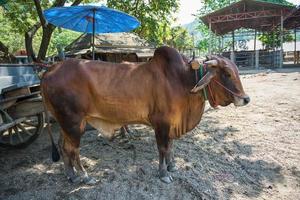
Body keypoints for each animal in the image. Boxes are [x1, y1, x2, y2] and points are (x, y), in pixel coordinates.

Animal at [41, 45, 250, 184]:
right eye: (227, 74)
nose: (246, 99)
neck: (183, 80)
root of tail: (50, 70)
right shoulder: (161, 123)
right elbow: (163, 148)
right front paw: (164, 174)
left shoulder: (172, 124)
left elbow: (171, 147)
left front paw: (172, 165)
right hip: (74, 123)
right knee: (72, 150)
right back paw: (84, 176)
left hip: (64, 123)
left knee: (62, 147)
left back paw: (71, 175)